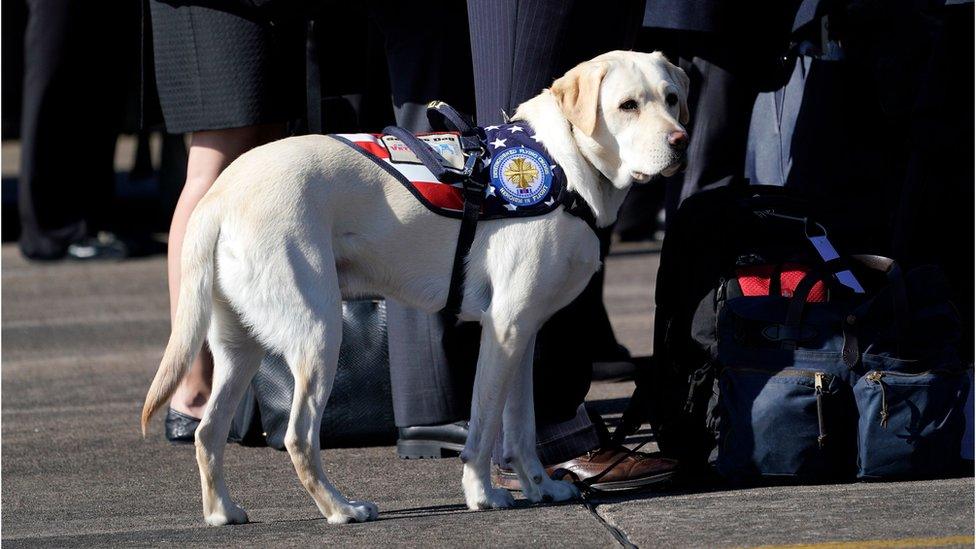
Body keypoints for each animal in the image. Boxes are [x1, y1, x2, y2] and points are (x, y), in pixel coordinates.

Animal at [143, 49, 688, 524]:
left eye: (672, 98)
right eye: (627, 105)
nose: (681, 141)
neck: (565, 163)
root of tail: (219, 193)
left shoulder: (524, 334)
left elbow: (521, 428)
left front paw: (541, 487)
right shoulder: (505, 329)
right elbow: (484, 429)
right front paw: (482, 495)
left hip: (241, 347)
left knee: (208, 433)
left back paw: (222, 512)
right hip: (318, 335)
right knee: (298, 438)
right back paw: (341, 509)